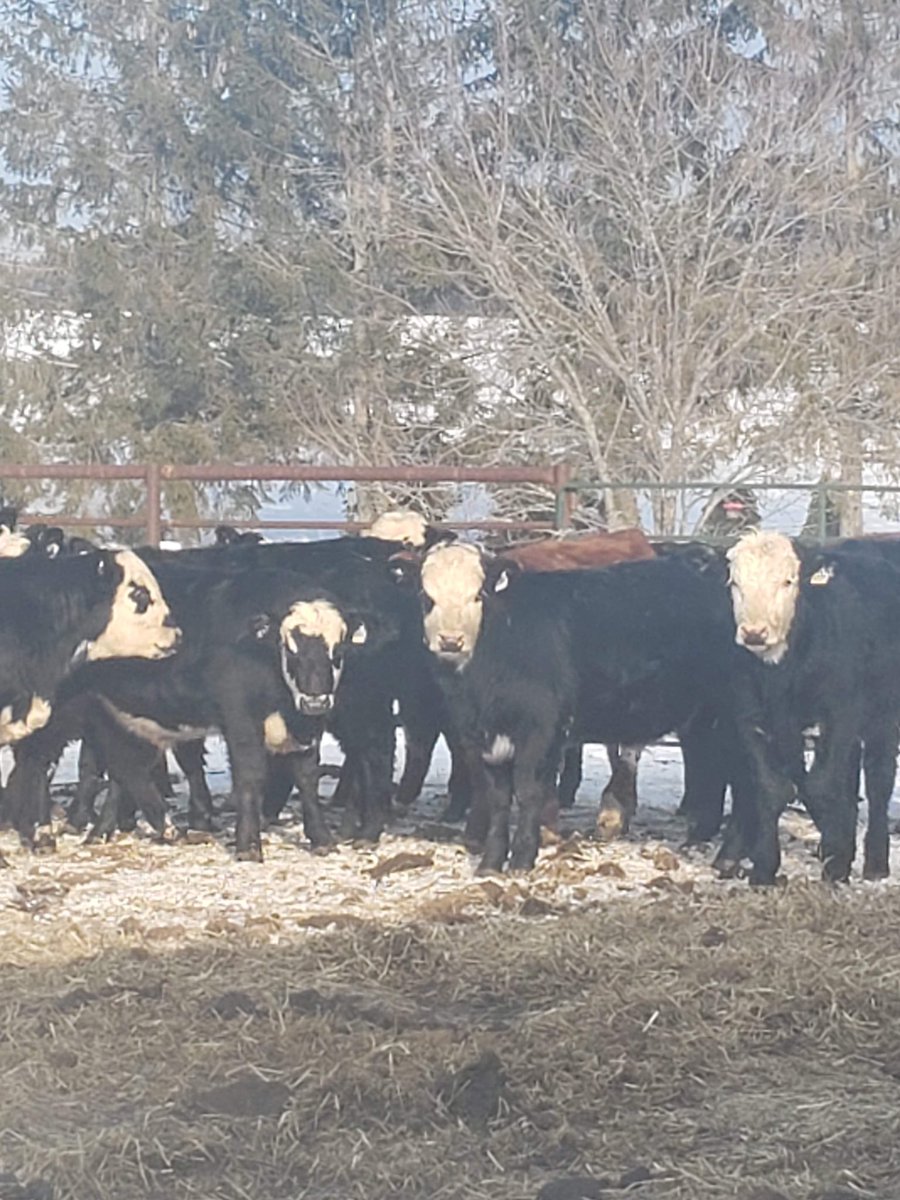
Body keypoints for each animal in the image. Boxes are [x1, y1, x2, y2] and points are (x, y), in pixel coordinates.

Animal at [403, 542, 739, 871]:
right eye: (426, 597)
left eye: (477, 595)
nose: (450, 640)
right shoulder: (484, 736)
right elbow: (498, 798)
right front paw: (491, 863)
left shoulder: (541, 731)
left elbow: (528, 791)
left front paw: (522, 859)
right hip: (703, 721)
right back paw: (700, 835)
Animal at [717, 529, 900, 885]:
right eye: (735, 583)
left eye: (788, 581)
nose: (754, 633)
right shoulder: (749, 719)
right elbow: (773, 787)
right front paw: (764, 869)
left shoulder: (840, 717)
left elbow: (819, 786)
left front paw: (836, 861)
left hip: (883, 717)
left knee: (878, 779)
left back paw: (875, 862)